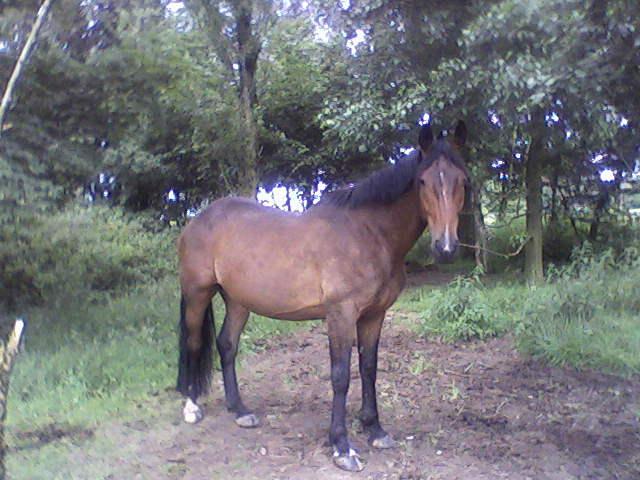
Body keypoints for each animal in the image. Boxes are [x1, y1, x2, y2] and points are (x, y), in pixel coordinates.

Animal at [176, 121, 470, 472]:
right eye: (423, 181)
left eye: (462, 180)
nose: (446, 247)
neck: (368, 233)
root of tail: (198, 219)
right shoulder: (341, 314)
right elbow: (340, 376)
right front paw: (342, 446)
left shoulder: (374, 315)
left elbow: (368, 368)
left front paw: (375, 429)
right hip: (198, 292)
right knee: (193, 342)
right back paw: (192, 407)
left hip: (237, 301)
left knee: (226, 345)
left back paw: (241, 411)